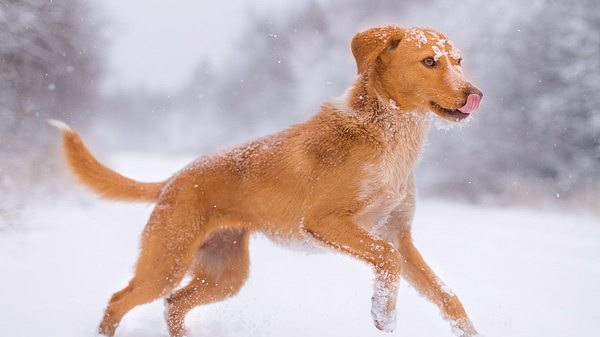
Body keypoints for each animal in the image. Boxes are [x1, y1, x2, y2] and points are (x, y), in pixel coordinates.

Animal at [50, 25, 482, 336]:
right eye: (429, 61)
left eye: (459, 61)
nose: (475, 94)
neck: (389, 137)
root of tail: (173, 179)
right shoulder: (326, 222)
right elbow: (385, 260)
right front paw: (383, 314)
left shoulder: (396, 233)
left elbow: (447, 296)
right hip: (166, 263)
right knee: (119, 299)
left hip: (225, 274)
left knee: (174, 304)